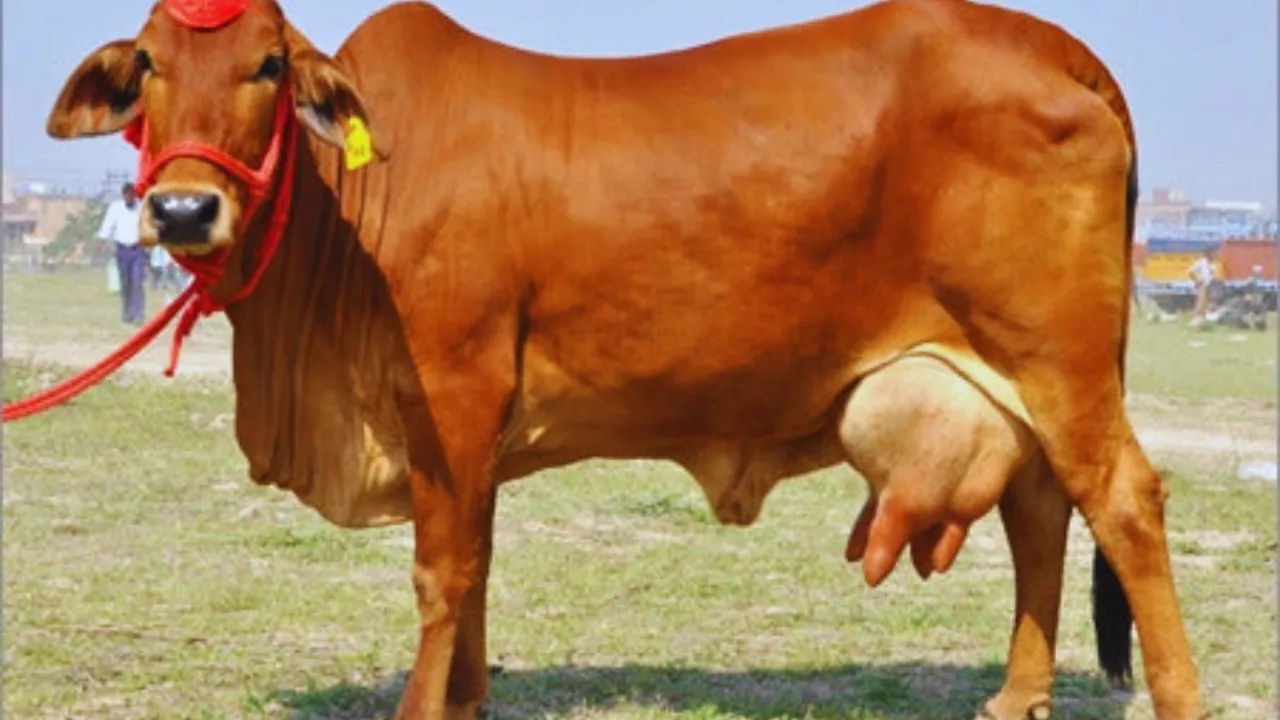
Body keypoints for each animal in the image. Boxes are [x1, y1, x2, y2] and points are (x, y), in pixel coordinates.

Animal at [44, 0, 1206, 718]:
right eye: (149, 65)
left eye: (270, 65)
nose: (181, 210)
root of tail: (1050, 45)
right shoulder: (469, 432)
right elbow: (475, 565)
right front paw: (466, 694)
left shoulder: (453, 391)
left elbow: (440, 571)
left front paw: (424, 703)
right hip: (1016, 375)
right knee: (1039, 510)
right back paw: (1015, 696)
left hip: (1058, 362)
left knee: (1123, 502)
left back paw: (1176, 694)